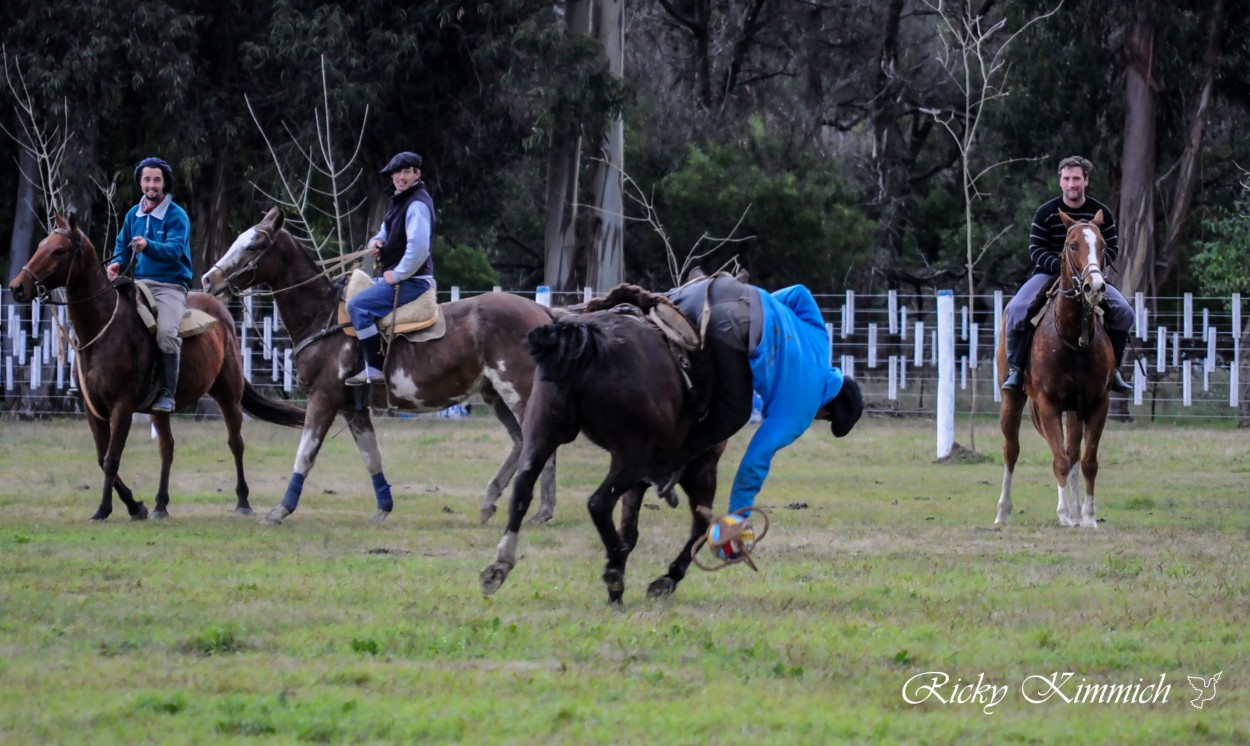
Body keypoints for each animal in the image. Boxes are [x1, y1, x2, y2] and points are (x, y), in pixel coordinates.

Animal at [7, 212, 305, 519]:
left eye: (58, 250)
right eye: (41, 245)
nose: (18, 286)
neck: (102, 329)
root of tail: (221, 313)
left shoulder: (122, 406)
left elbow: (112, 459)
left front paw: (105, 509)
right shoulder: (94, 409)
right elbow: (103, 458)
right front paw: (135, 506)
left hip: (228, 394)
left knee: (236, 443)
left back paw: (243, 502)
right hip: (160, 409)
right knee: (167, 448)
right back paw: (161, 505)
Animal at [198, 204, 557, 524]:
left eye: (254, 244)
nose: (207, 279)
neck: (322, 316)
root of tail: (542, 312)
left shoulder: (323, 399)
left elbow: (306, 453)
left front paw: (280, 510)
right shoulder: (352, 408)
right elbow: (371, 456)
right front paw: (383, 507)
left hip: (519, 392)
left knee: (538, 443)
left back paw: (541, 510)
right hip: (495, 394)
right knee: (521, 442)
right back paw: (493, 500)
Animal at [995, 206, 1115, 527]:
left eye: (1103, 246)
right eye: (1072, 245)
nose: (1094, 287)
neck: (1074, 338)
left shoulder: (1098, 404)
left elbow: (1087, 461)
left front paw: (1087, 516)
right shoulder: (1048, 404)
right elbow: (1059, 459)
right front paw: (1063, 513)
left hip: (1075, 411)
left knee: (1073, 452)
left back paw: (1076, 510)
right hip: (1012, 400)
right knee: (1012, 450)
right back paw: (1003, 511)